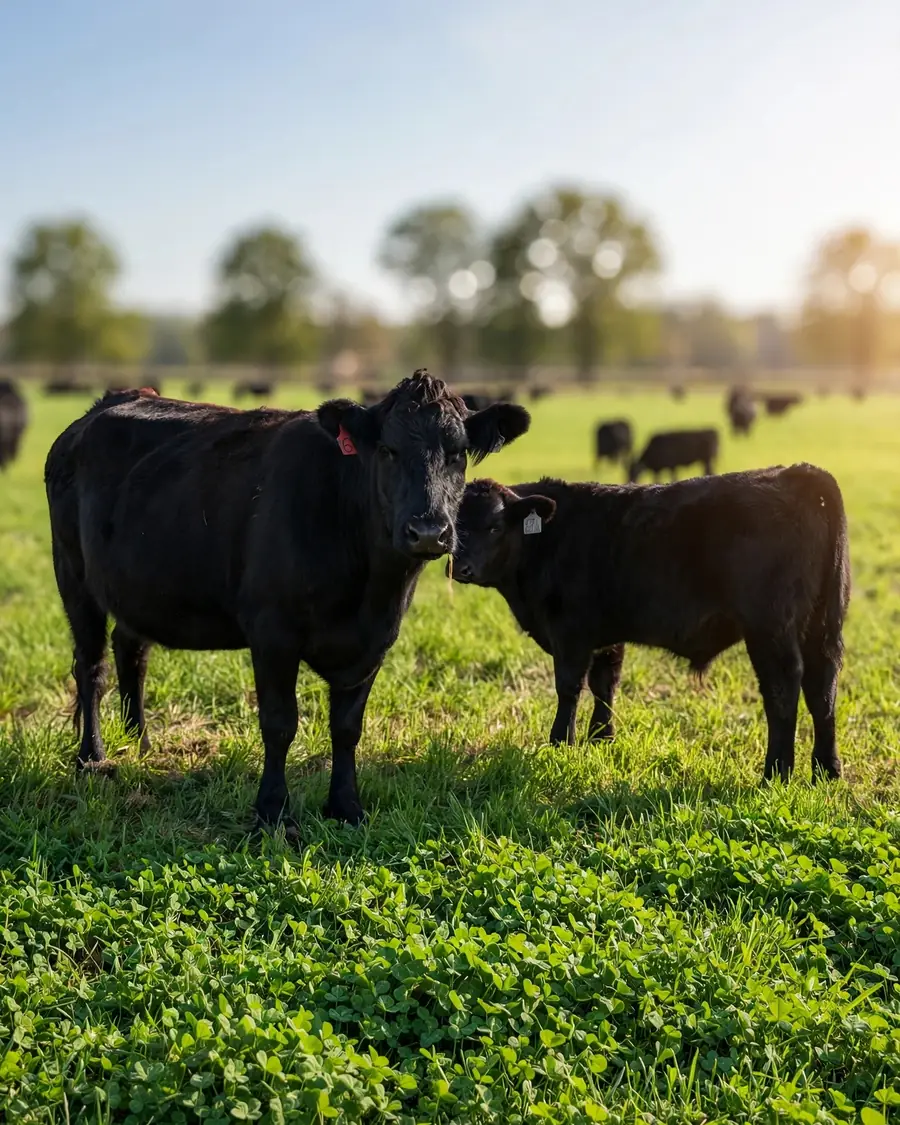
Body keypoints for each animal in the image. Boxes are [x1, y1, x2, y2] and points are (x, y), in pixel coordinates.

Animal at [44, 371, 530, 828]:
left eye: (457, 453)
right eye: (388, 450)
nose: (428, 531)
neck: (367, 589)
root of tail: (108, 402)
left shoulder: (375, 641)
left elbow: (347, 727)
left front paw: (346, 807)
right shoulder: (272, 632)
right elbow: (279, 723)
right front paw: (273, 812)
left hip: (135, 587)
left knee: (132, 653)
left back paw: (140, 744)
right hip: (74, 576)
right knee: (90, 666)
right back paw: (92, 757)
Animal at [450, 466, 849, 782]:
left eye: (495, 526)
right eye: (453, 525)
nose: (460, 568)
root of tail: (797, 473)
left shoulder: (570, 633)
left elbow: (569, 688)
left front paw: (560, 742)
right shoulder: (605, 635)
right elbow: (605, 684)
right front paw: (601, 738)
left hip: (770, 629)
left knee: (783, 691)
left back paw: (775, 773)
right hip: (823, 627)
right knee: (822, 690)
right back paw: (826, 770)